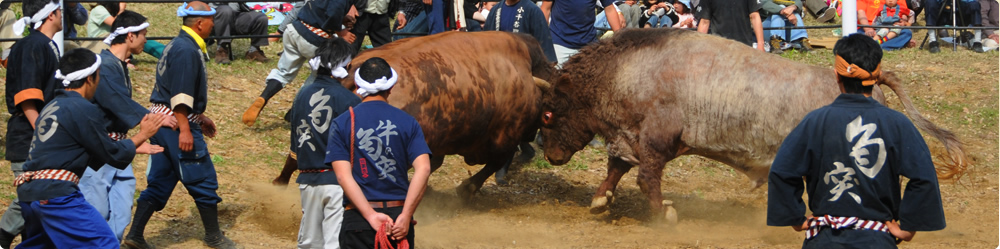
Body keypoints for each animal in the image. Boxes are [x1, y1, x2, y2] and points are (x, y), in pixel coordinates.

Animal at [344, 31, 560, 198]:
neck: (527, 71)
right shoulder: (505, 137)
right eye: (547, 113)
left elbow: (435, 163)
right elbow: (494, 163)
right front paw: (466, 189)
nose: (536, 138)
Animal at [540, 28, 968, 220]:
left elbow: (647, 179)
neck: (627, 68)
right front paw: (600, 200)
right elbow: (617, 168)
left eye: (547, 112)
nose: (551, 155)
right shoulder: (629, 138)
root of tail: (871, 82)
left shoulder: (656, 139)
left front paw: (665, 214)